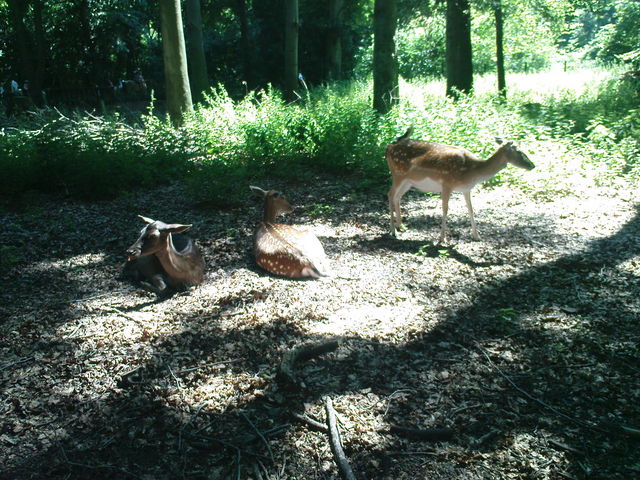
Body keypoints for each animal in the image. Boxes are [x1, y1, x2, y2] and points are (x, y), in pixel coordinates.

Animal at [388, 126, 532, 242]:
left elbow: (471, 209)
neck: (471, 171)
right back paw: (393, 231)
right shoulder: (446, 184)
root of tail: (388, 147)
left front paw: (477, 236)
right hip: (398, 174)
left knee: (397, 197)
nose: (532, 165)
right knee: (390, 194)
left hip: (408, 181)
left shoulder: (466, 189)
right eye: (520, 151)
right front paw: (442, 238)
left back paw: (401, 226)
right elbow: (445, 209)